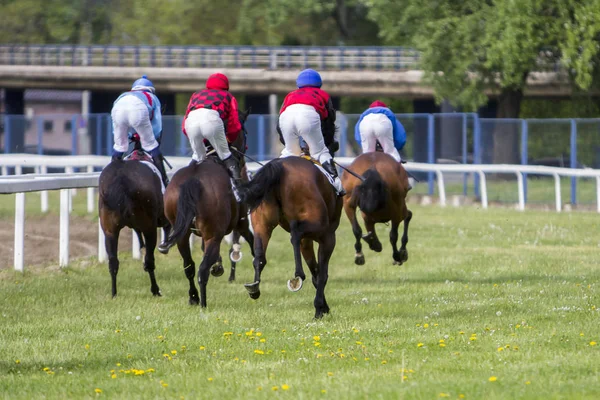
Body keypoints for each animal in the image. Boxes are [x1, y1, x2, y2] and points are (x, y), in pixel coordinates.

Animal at [98, 140, 169, 296]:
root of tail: (121, 179)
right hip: (149, 228)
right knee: (149, 260)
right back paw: (155, 290)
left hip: (110, 230)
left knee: (113, 262)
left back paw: (114, 293)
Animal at [159, 109, 253, 306]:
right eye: (245, 132)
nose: (242, 156)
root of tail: (193, 181)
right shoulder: (241, 223)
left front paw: (217, 265)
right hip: (214, 233)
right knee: (202, 270)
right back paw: (203, 303)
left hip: (183, 235)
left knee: (189, 266)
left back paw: (194, 298)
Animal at [238, 156, 342, 318]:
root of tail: (279, 167)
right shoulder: (328, 237)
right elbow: (322, 274)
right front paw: (320, 307)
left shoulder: (307, 241)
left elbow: (316, 272)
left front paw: (323, 306)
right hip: (319, 228)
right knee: (295, 233)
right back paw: (298, 276)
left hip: (262, 224)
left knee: (260, 256)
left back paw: (254, 287)